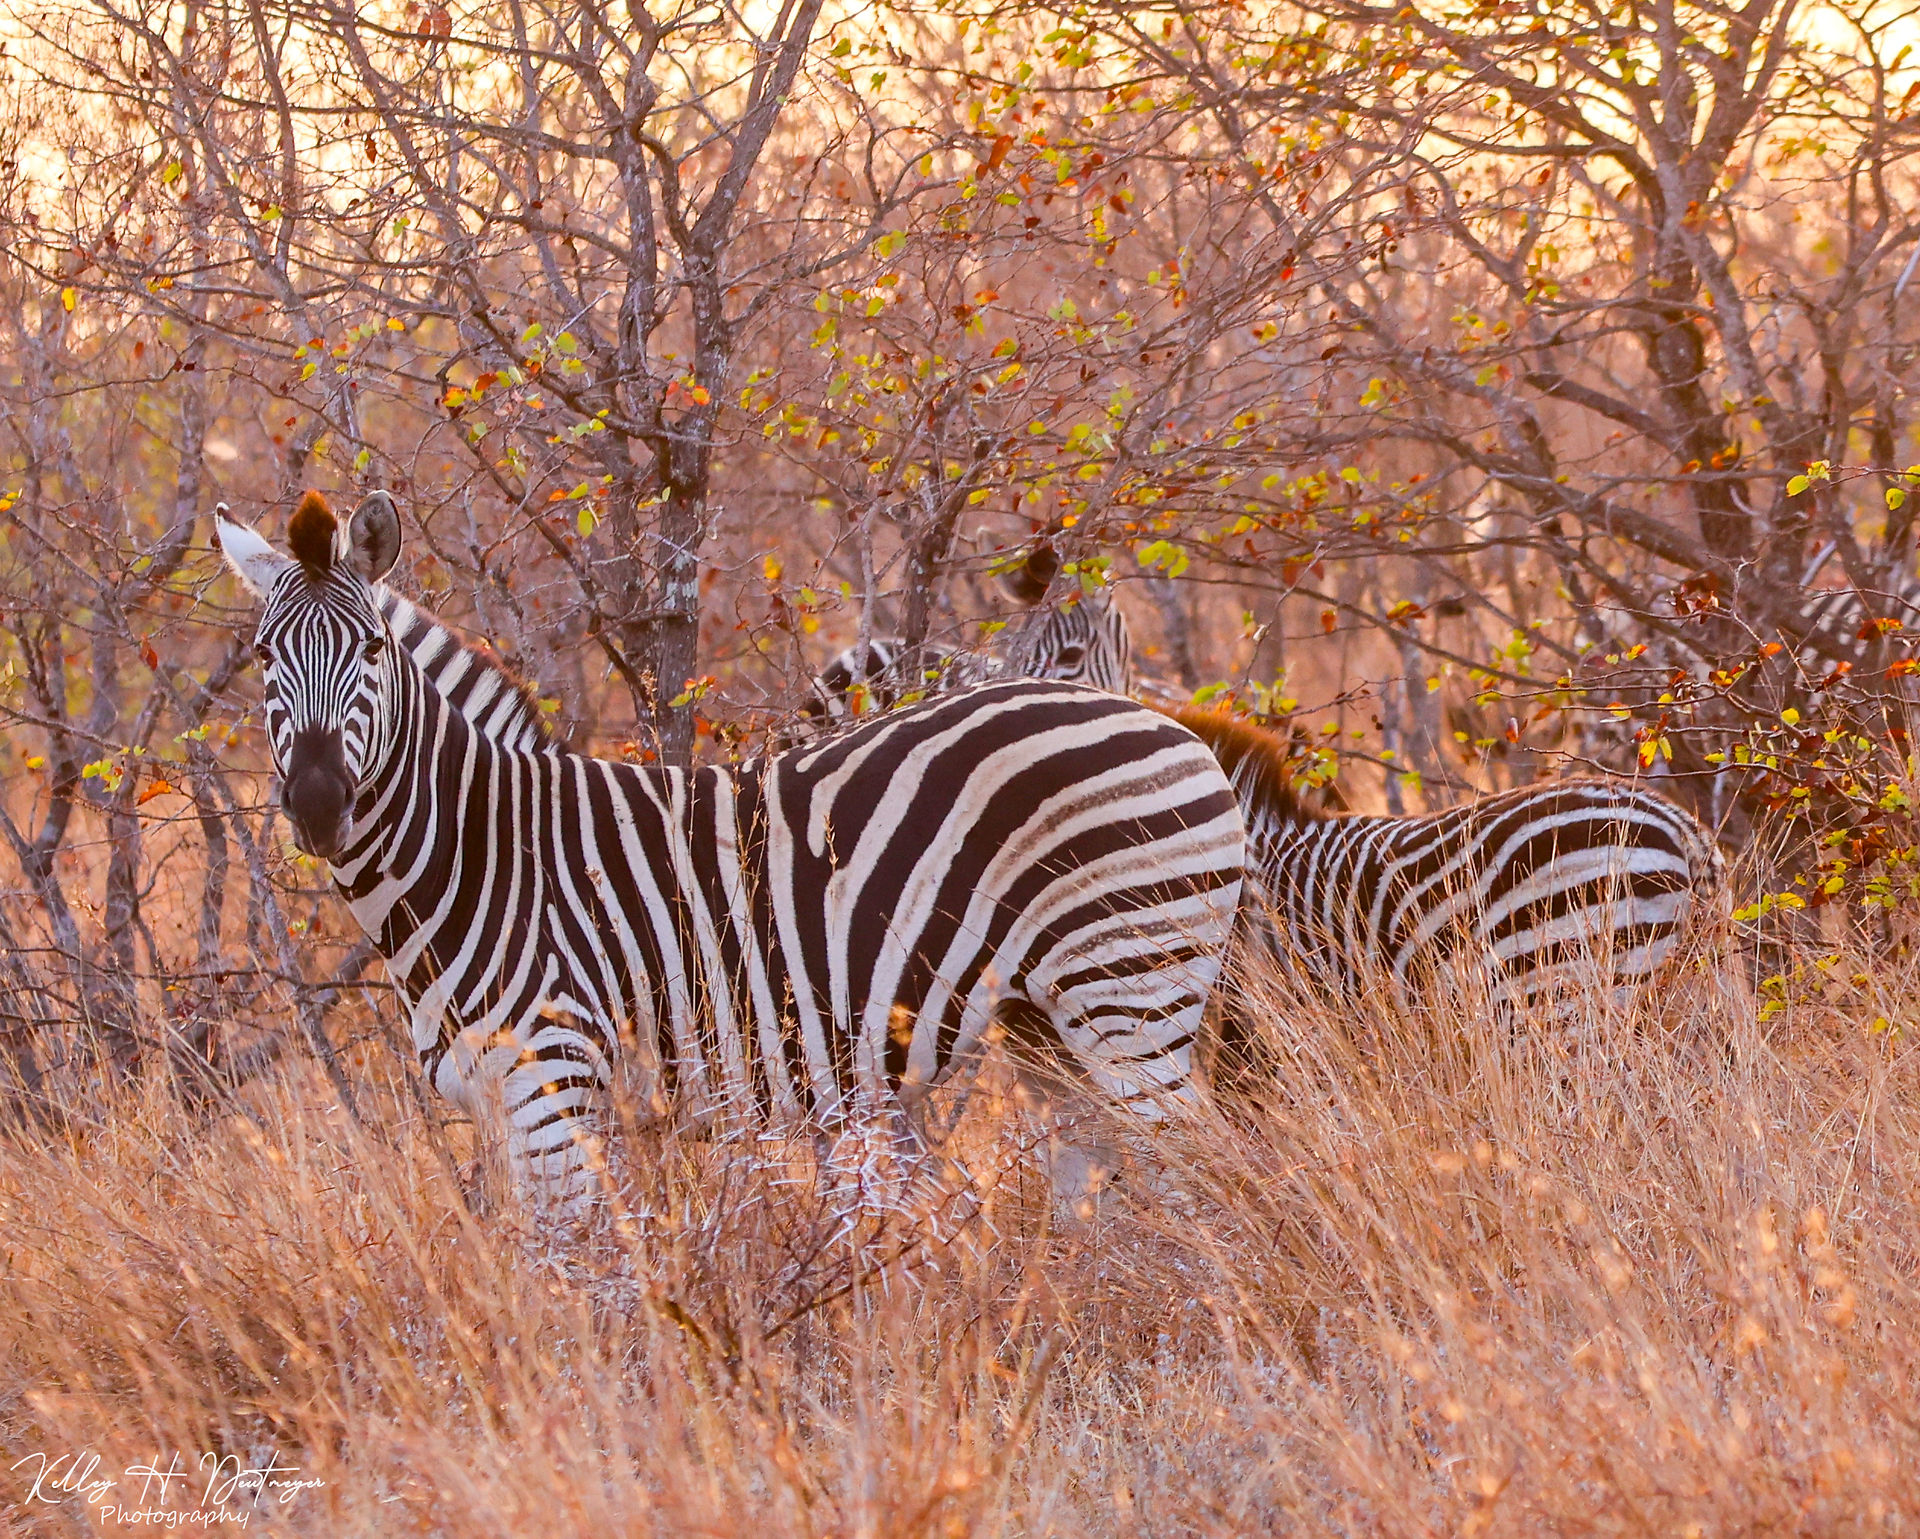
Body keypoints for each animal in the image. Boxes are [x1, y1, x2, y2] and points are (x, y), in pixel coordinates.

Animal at [215, 491, 1246, 1212]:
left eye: (370, 651)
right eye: (264, 657)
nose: (317, 806)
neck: (483, 856)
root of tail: (1163, 720)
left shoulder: (556, 1081)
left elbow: (588, 1272)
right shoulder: (502, 1104)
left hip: (1132, 986)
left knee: (1201, 1170)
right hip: (1052, 1020)